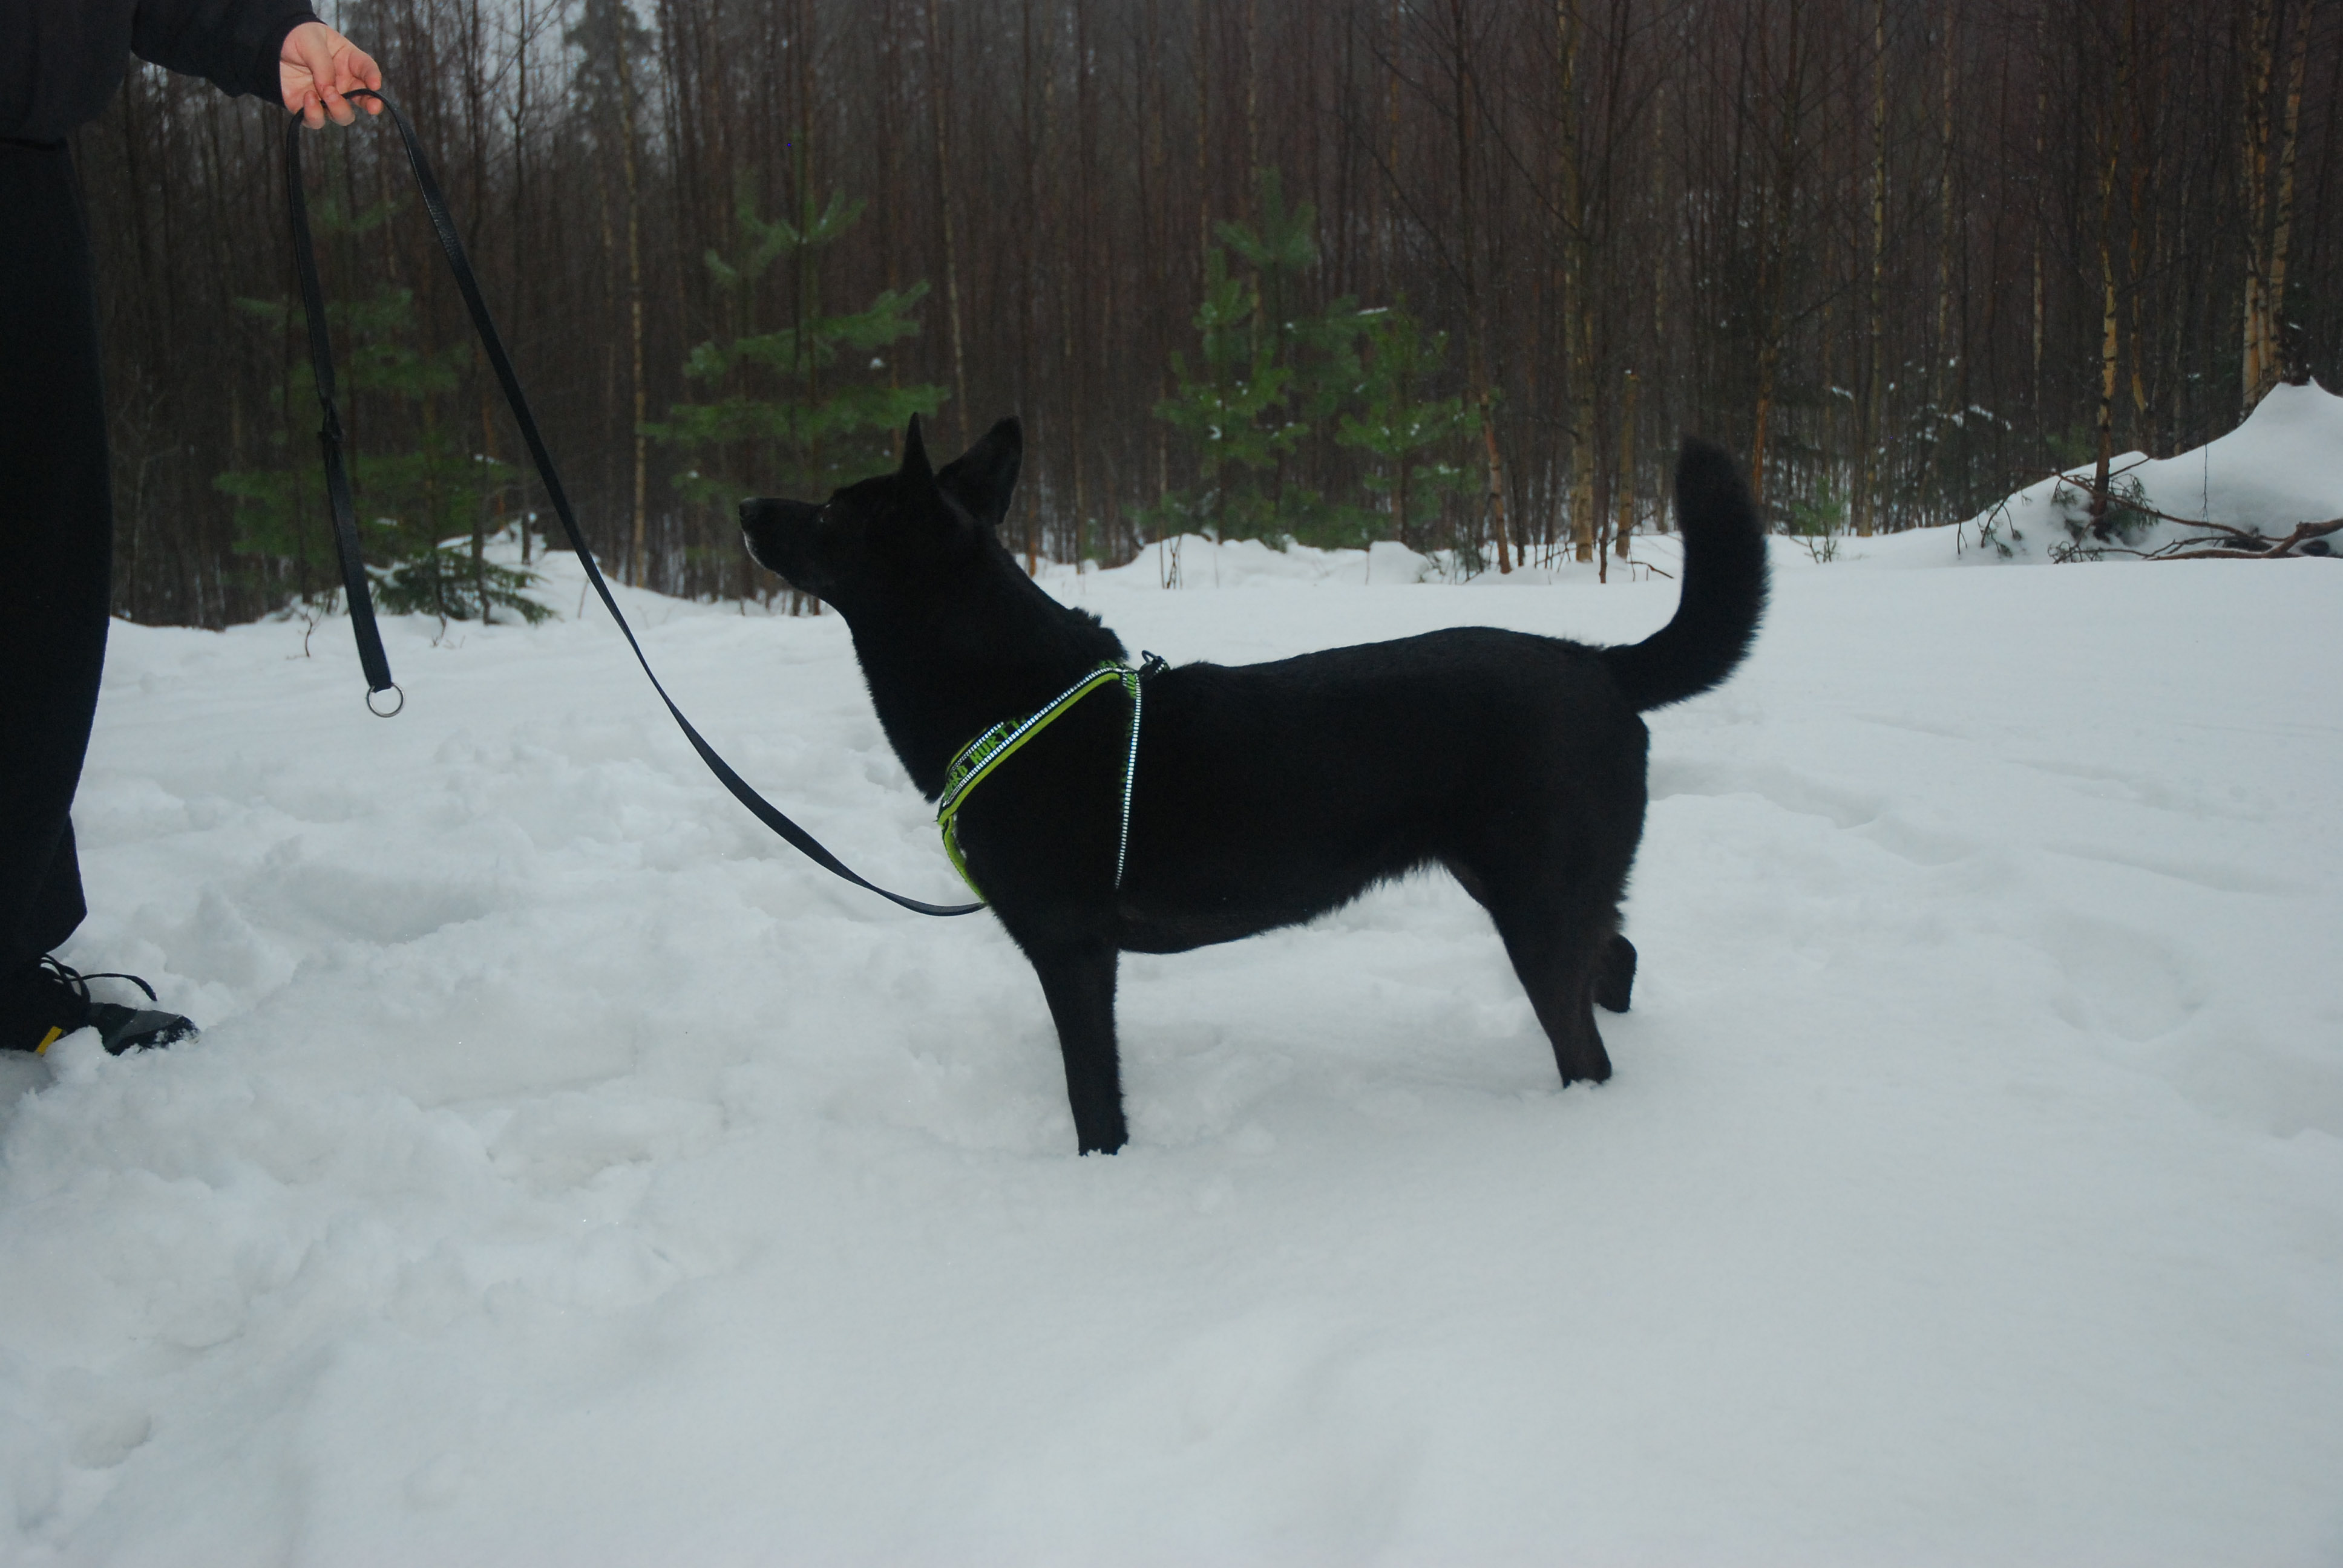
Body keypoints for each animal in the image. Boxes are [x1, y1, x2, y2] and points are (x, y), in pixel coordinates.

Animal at [741, 416, 1766, 1154]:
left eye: (830, 512)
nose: (747, 506)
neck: (1010, 697)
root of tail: (1601, 663)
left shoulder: (1074, 952)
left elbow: (1092, 1097)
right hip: (1530, 886)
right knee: (1618, 953)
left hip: (1536, 906)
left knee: (1585, 1033)